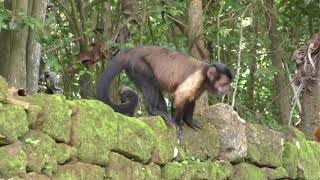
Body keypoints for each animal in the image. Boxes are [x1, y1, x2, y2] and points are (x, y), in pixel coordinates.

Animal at [96, 46, 234, 139]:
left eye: (227, 84)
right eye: (224, 84)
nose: (226, 90)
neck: (205, 73)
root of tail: (132, 50)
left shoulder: (201, 85)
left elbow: (191, 99)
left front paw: (189, 121)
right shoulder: (197, 78)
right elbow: (180, 96)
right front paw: (178, 124)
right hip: (137, 64)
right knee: (150, 81)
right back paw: (153, 111)